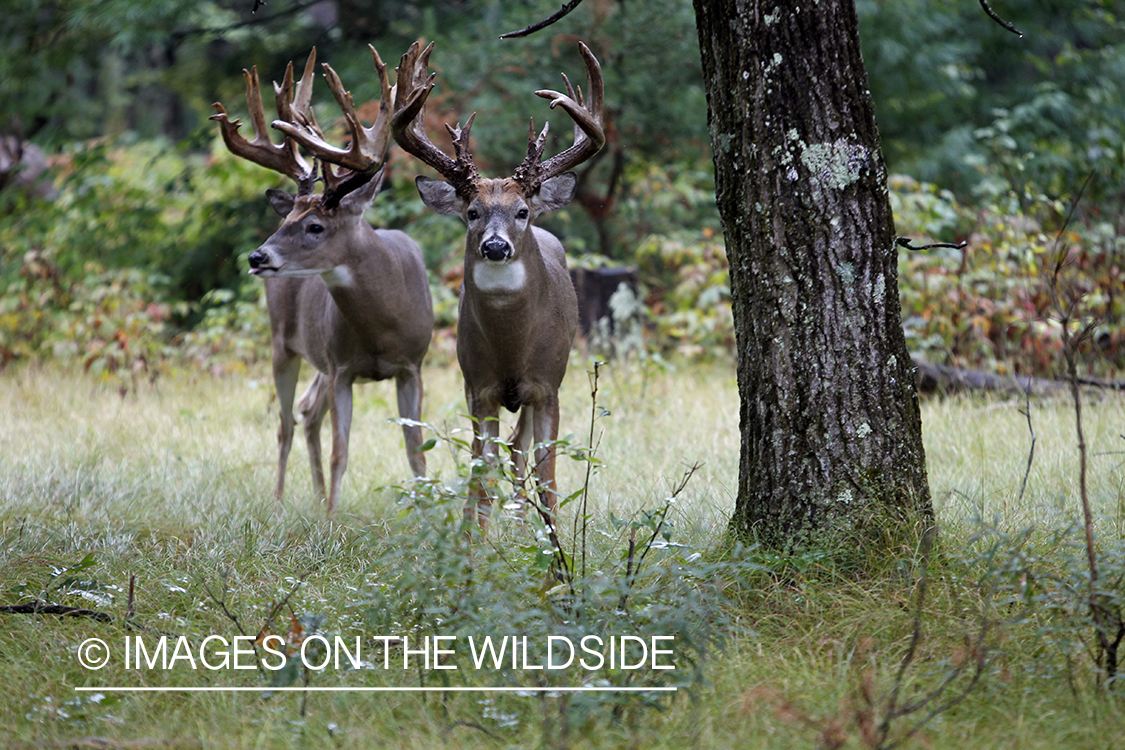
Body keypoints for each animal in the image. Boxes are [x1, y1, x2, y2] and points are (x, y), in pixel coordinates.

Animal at [211, 48, 434, 517]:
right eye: (287, 220)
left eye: (315, 226)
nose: (257, 256)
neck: (383, 325)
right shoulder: (341, 368)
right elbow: (340, 451)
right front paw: (332, 518)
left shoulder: (412, 366)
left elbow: (416, 449)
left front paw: (431, 514)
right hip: (284, 343)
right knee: (286, 423)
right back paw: (280, 501)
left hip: (318, 360)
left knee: (307, 411)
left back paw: (312, 499)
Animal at [389, 42, 603, 532]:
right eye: (472, 212)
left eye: (522, 210)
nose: (495, 245)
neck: (511, 344)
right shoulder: (477, 385)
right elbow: (480, 473)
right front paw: (475, 540)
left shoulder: (548, 383)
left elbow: (548, 473)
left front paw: (552, 541)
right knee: (503, 455)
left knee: (522, 452)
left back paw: (526, 523)